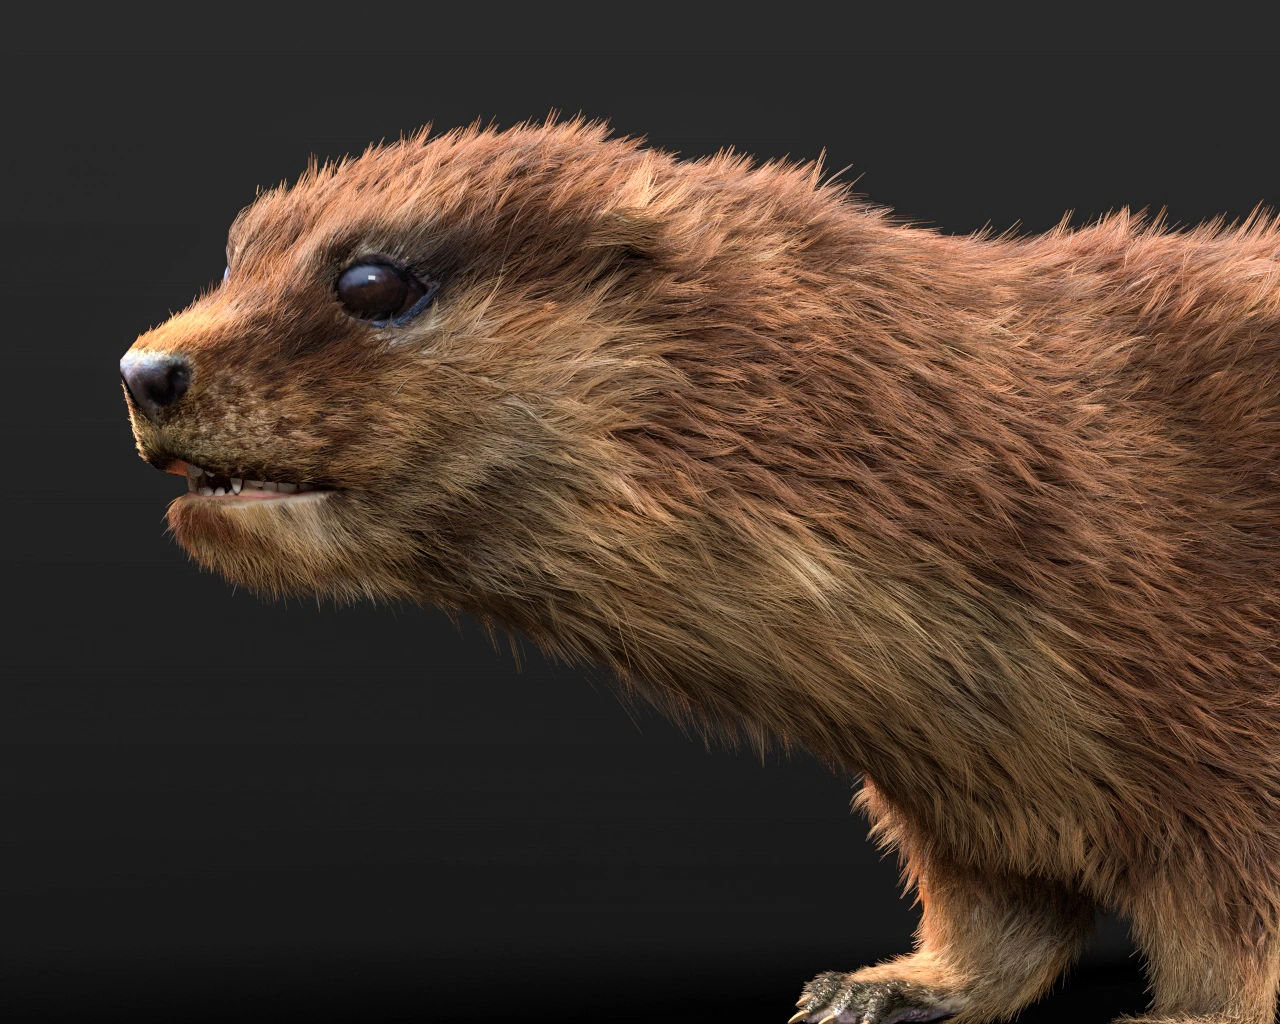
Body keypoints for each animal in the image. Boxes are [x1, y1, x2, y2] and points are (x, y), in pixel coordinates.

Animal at [119, 120, 1280, 1024]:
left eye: (371, 279)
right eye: (237, 253)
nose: (146, 367)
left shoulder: (1224, 721)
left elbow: (1238, 933)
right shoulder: (962, 790)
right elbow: (997, 924)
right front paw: (883, 986)